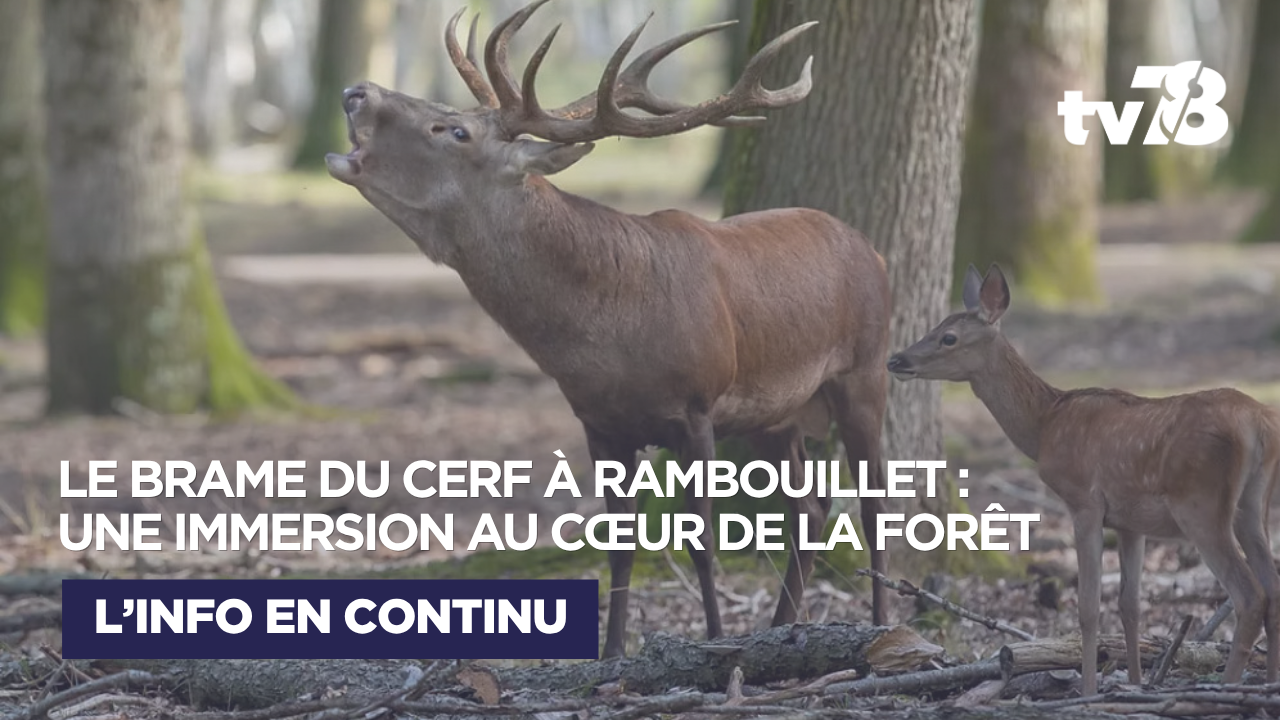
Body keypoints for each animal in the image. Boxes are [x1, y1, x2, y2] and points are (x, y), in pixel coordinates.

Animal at [323, 0, 893, 658]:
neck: (602, 343)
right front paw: (612, 654)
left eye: (455, 130)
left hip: (865, 372)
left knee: (874, 505)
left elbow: (701, 541)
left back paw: (880, 626)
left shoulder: (697, 405)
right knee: (812, 508)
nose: (356, 92)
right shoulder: (599, 424)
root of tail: (873, 250)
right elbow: (619, 546)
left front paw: (716, 646)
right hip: (777, 417)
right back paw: (782, 628)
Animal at [887, 263, 1280, 695]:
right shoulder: (1130, 522)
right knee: (1273, 588)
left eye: (949, 337)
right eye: (936, 325)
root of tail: (1259, 423)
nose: (896, 359)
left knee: (1250, 596)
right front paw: (1136, 683)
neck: (1044, 425)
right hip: (1252, 505)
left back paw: (1228, 685)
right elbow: (1129, 604)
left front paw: (1089, 691)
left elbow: (1089, 606)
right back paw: (1267, 684)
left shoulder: (1084, 501)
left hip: (1200, 504)